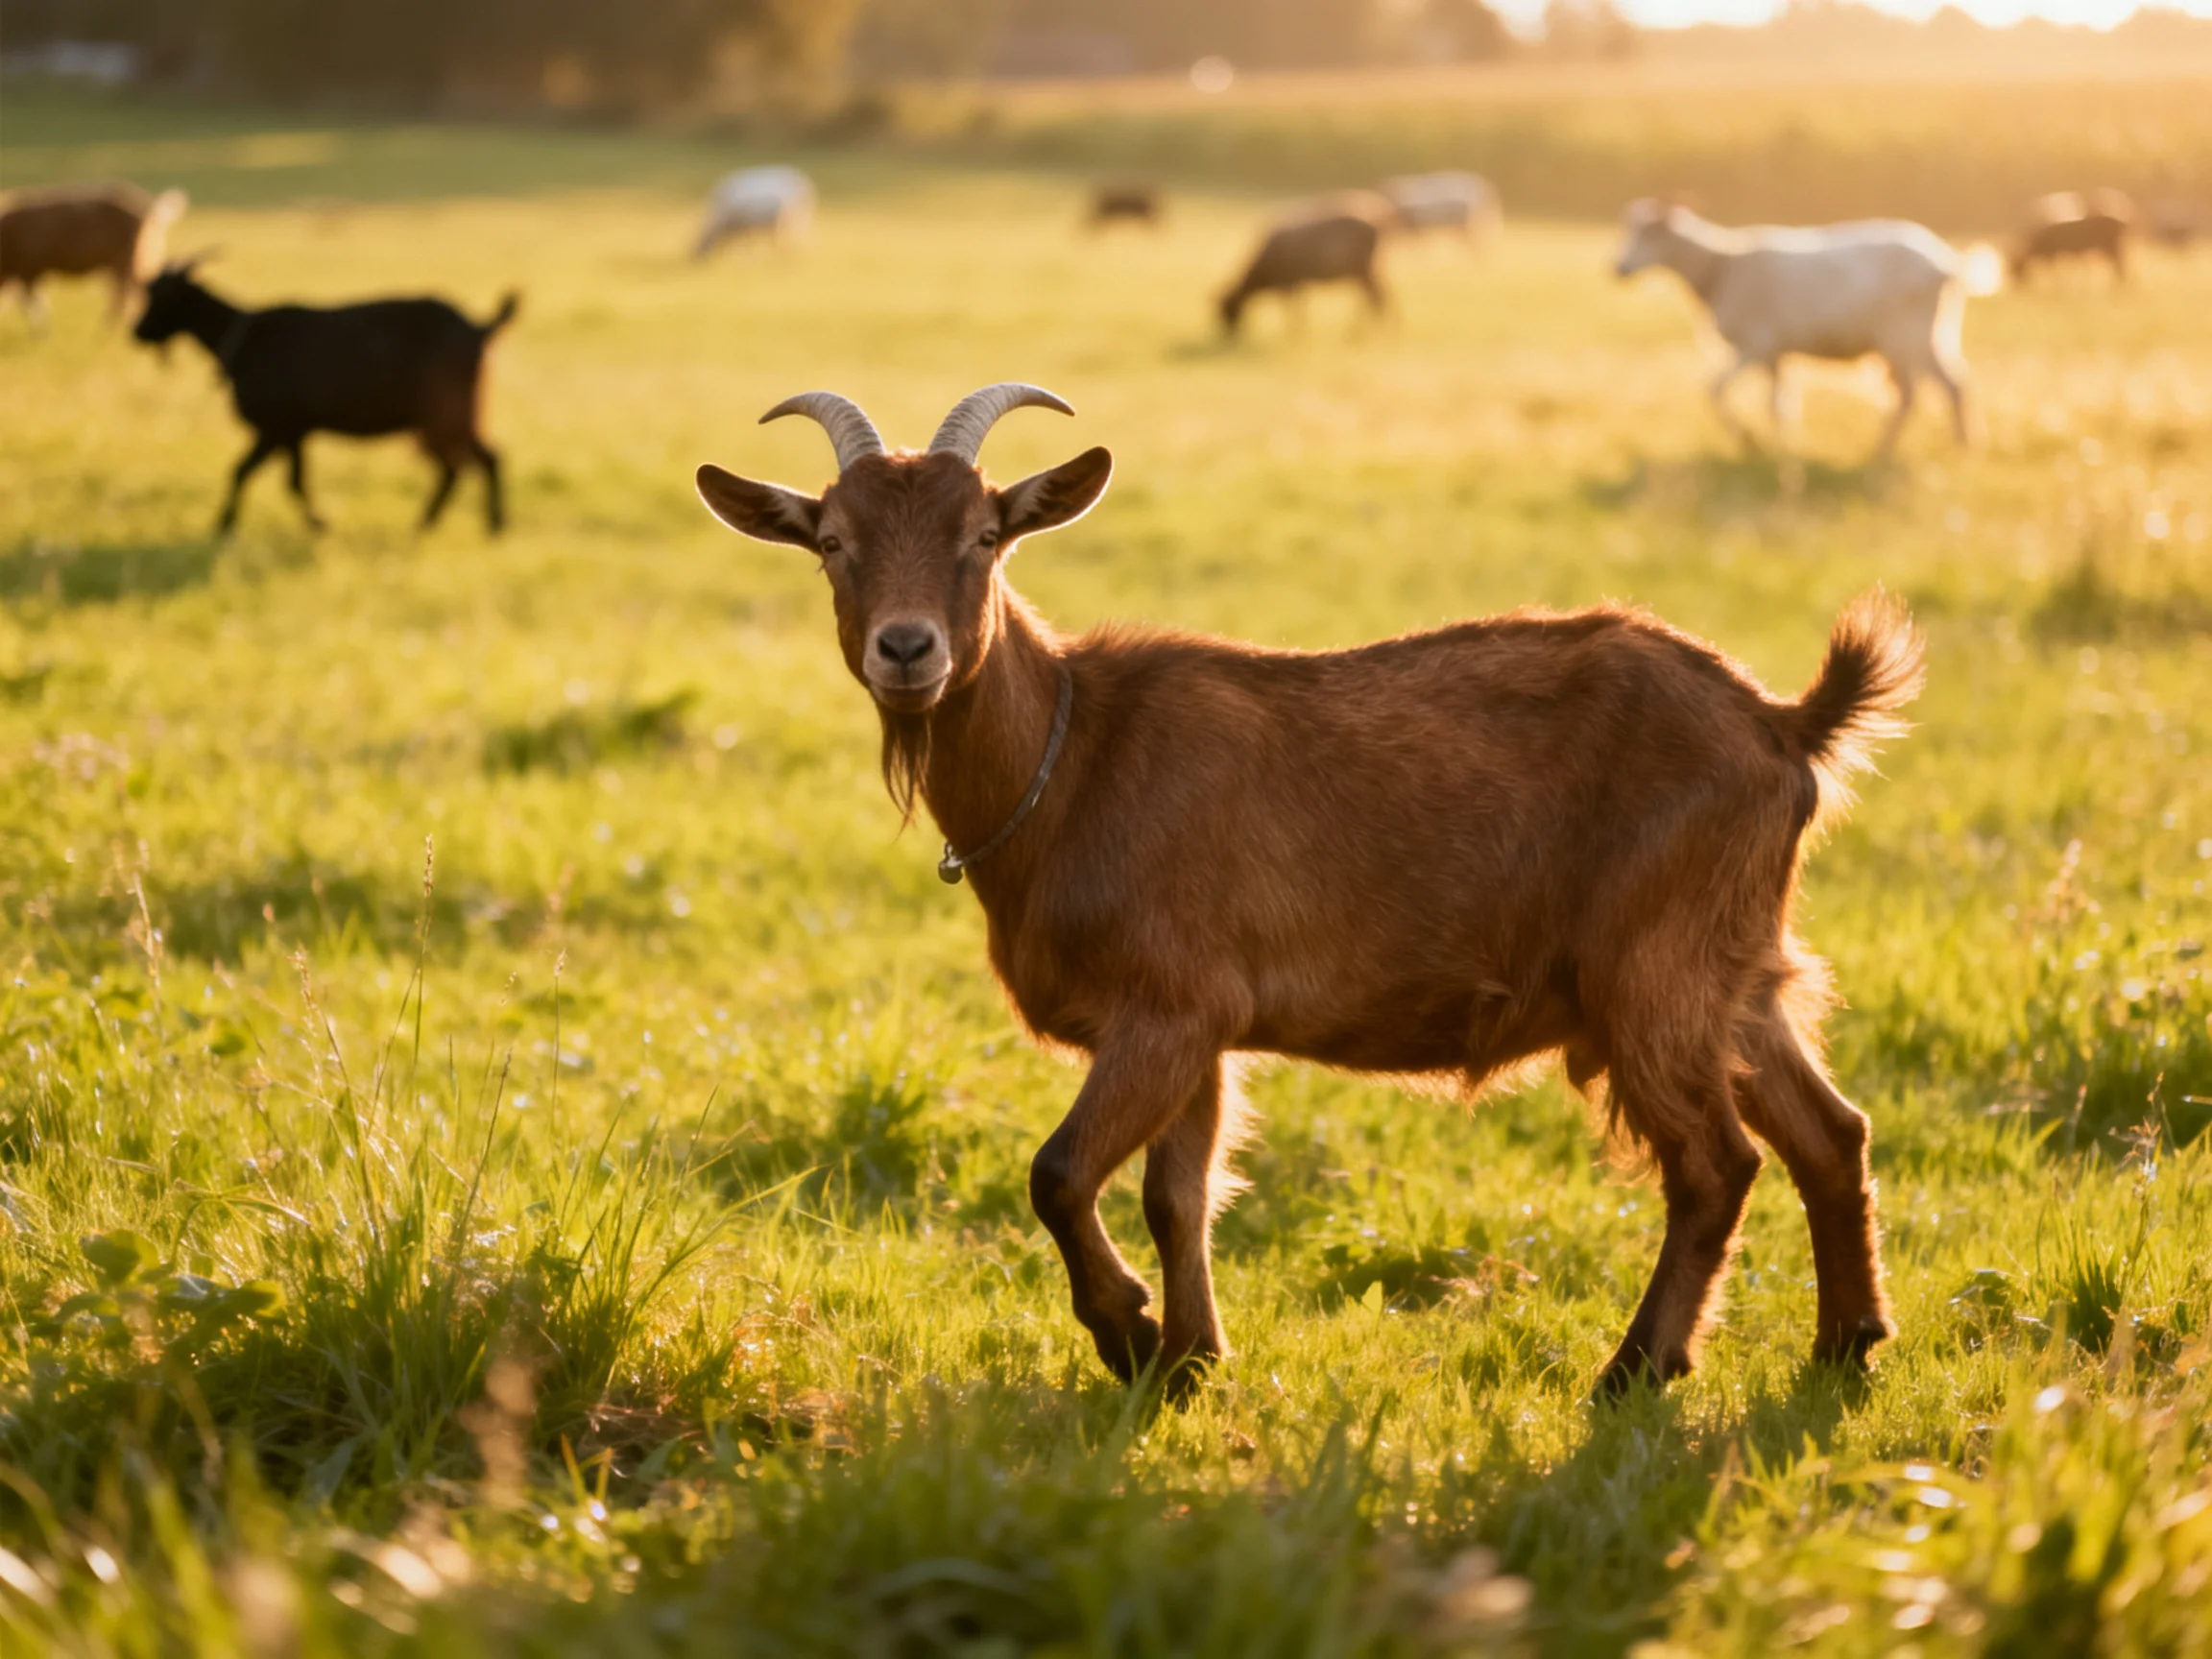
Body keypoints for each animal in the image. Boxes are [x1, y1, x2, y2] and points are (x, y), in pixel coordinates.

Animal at [0, 182, 186, 330]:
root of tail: (151, 208)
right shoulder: (30, 270)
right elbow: (32, 298)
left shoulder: (30, 267)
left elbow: (31, 300)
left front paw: (41, 329)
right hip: (132, 262)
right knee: (128, 292)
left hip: (130, 259)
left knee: (129, 293)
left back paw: (108, 328)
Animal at [131, 261, 516, 536]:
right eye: (149, 290)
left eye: (162, 295)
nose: (137, 331)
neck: (243, 340)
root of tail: (480, 328)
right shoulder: (293, 432)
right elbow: (280, 478)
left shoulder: (277, 427)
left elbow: (254, 474)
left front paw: (230, 525)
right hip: (436, 422)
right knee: (458, 466)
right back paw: (428, 522)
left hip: (447, 416)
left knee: (484, 458)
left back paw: (491, 525)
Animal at [694, 383, 1923, 1398]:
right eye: (832, 541)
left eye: (985, 536)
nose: (909, 651)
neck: (1071, 758)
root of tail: (1782, 726)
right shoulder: (1193, 1027)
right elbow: (1177, 1194)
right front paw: (1188, 1362)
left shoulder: (1167, 1009)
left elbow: (1059, 1175)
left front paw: (1129, 1335)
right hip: (1736, 968)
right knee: (1831, 1133)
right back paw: (1845, 1344)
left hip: (1651, 970)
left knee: (1718, 1163)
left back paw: (1636, 1371)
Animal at [1219, 195, 1392, 336]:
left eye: (1228, 309)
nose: (1230, 335)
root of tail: (1379, 220)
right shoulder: (1298, 282)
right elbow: (1300, 308)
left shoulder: (1287, 283)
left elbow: (1293, 308)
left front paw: (1294, 331)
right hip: (1365, 270)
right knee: (1377, 296)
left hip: (1364, 268)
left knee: (1378, 296)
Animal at [1613, 198, 2001, 460]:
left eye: (1650, 233)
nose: (1618, 268)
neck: (1720, 268)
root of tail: (1949, 263)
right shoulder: (1775, 355)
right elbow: (1778, 405)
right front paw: (1779, 448)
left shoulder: (1756, 344)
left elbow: (1715, 389)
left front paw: (1750, 440)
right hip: (1921, 338)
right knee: (1936, 388)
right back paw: (1927, 447)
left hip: (1909, 337)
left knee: (1935, 389)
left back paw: (1919, 449)